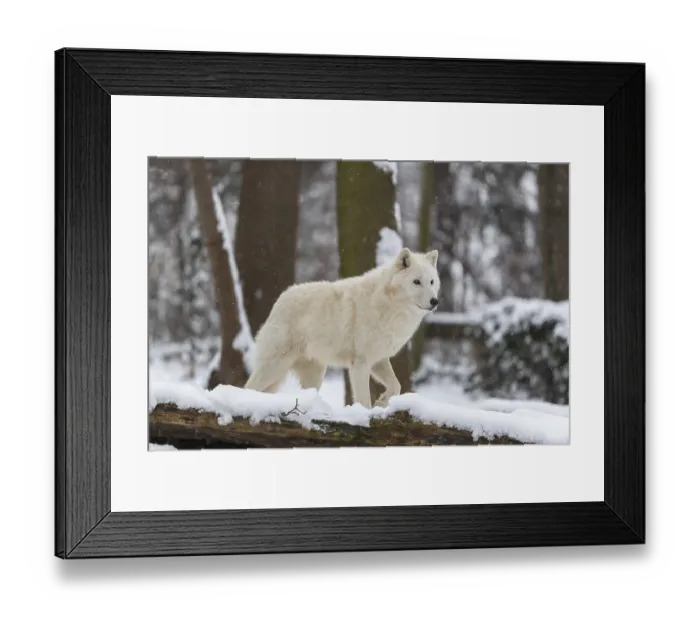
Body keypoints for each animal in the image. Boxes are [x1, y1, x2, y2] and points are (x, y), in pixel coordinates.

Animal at [244, 247, 441, 408]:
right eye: (416, 282)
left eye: (431, 282)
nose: (435, 301)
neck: (390, 308)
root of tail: (280, 299)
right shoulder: (360, 363)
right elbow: (363, 399)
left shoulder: (378, 360)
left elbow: (396, 385)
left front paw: (382, 402)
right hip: (274, 367)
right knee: (248, 387)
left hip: (314, 375)